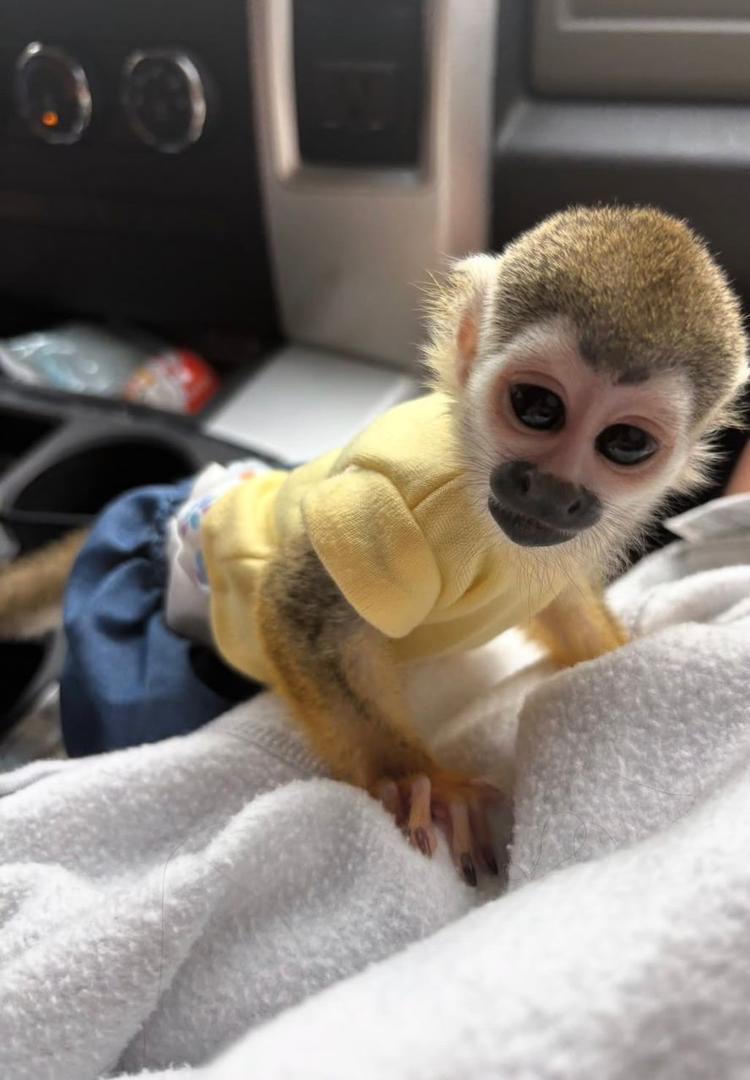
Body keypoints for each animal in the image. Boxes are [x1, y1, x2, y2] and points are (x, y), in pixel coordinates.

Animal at [0, 205, 746, 885]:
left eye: (626, 443)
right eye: (538, 407)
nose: (551, 489)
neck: (473, 492)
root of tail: (180, 504)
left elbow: (564, 608)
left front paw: (620, 657)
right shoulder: (389, 507)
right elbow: (298, 612)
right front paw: (422, 780)